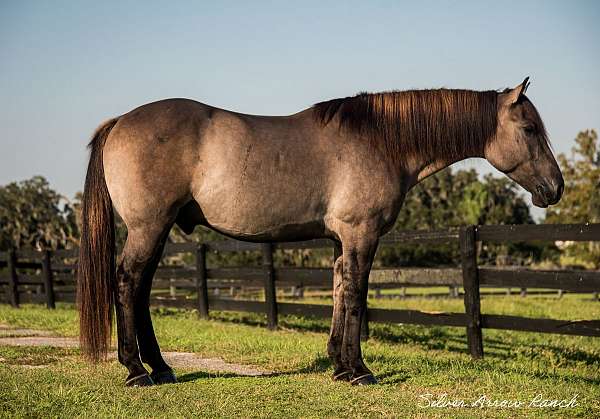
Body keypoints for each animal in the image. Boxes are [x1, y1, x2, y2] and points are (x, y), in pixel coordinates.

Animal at [78, 78, 564, 388]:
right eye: (529, 129)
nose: (555, 188)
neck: (381, 141)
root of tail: (120, 121)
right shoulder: (361, 235)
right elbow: (357, 297)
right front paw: (360, 371)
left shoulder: (340, 240)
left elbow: (338, 292)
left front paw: (340, 366)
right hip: (148, 228)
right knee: (128, 283)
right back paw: (136, 371)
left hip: (156, 232)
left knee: (140, 290)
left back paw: (160, 367)